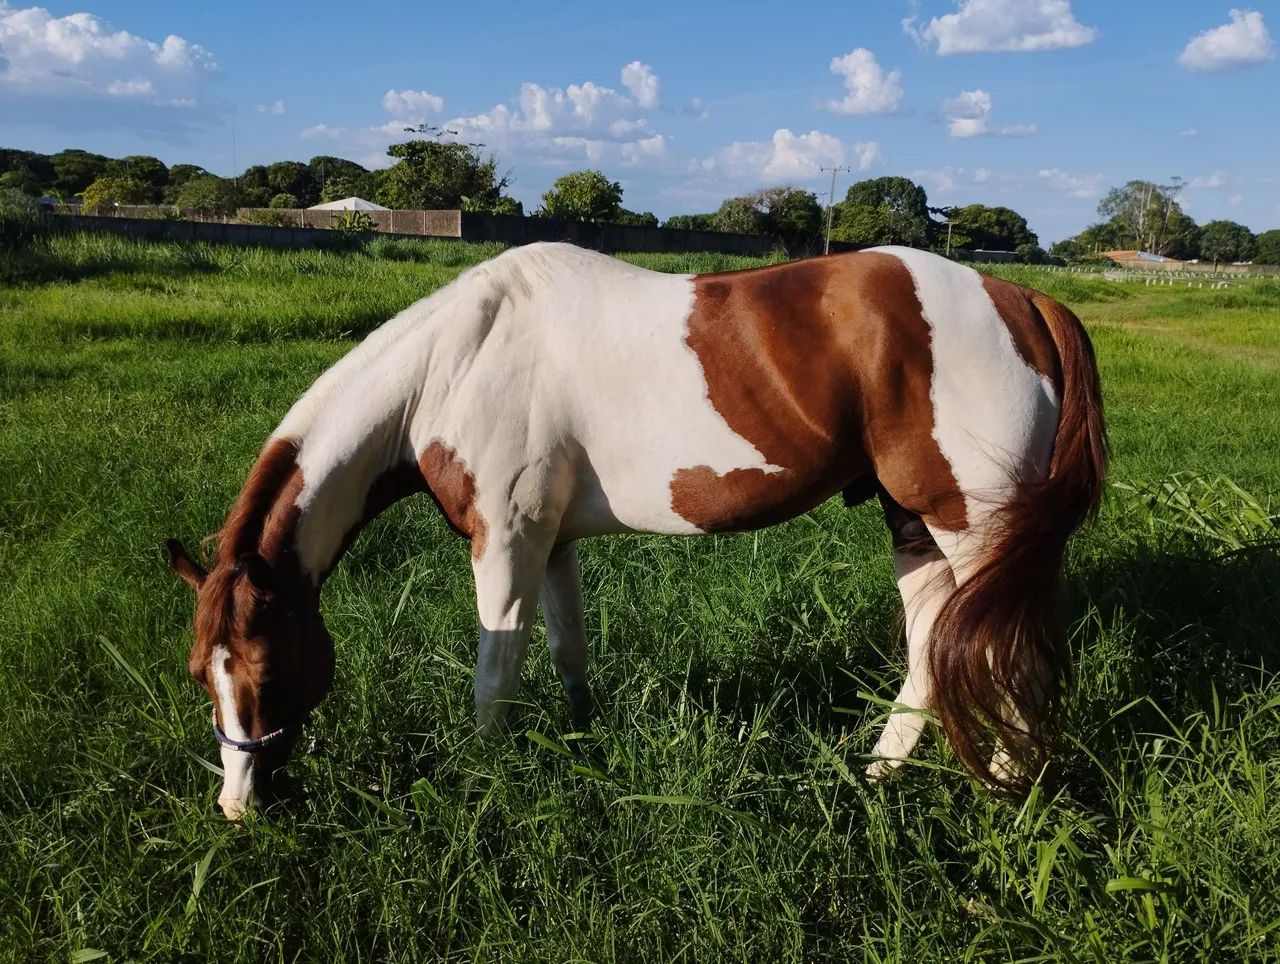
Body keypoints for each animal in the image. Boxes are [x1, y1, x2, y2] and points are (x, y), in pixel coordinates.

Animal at [165, 242, 1106, 820]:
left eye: (265, 668)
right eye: (201, 673)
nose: (237, 803)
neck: (455, 363)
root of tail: (1023, 299)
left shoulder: (504, 544)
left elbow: (495, 675)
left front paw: (483, 781)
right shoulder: (550, 542)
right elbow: (566, 651)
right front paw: (584, 743)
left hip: (973, 528)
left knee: (999, 654)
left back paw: (1009, 795)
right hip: (913, 520)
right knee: (933, 650)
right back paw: (877, 774)